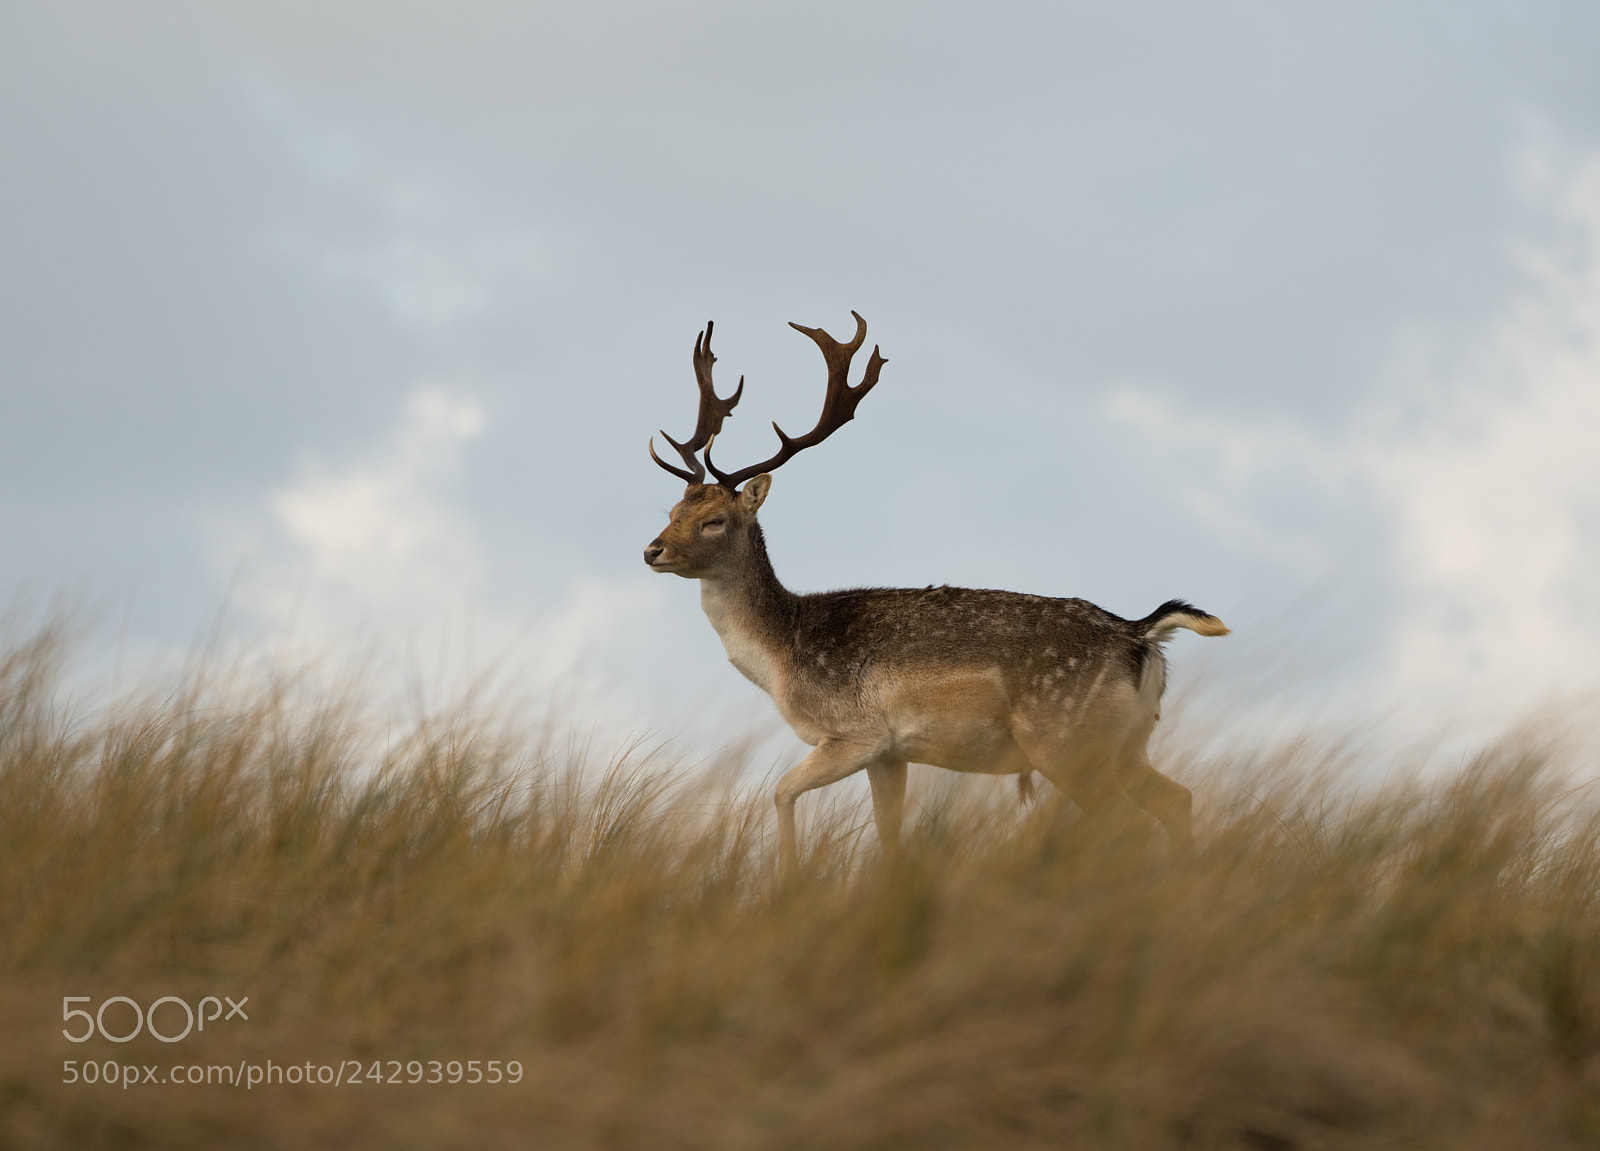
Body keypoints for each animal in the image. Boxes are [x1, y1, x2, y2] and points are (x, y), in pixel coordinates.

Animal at [643, 313, 1228, 874]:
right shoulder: (890, 754)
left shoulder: (856, 734)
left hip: (1063, 740)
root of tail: (1142, 635)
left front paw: (787, 882)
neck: (783, 658)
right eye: (672, 511)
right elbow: (889, 835)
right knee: (1177, 800)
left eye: (714, 520)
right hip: (1126, 745)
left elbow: (781, 793)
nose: (652, 550)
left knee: (1128, 822)